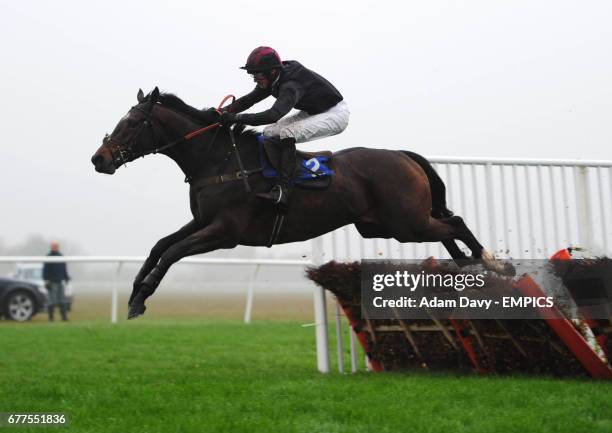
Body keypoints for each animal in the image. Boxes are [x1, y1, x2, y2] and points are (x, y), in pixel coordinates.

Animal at [91, 87, 512, 318]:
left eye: (132, 123)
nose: (99, 159)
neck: (219, 160)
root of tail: (402, 155)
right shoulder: (202, 222)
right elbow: (159, 246)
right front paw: (134, 291)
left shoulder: (225, 232)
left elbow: (171, 252)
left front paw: (141, 298)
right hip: (385, 224)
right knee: (447, 229)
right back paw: (466, 268)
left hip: (405, 223)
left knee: (455, 223)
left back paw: (491, 262)